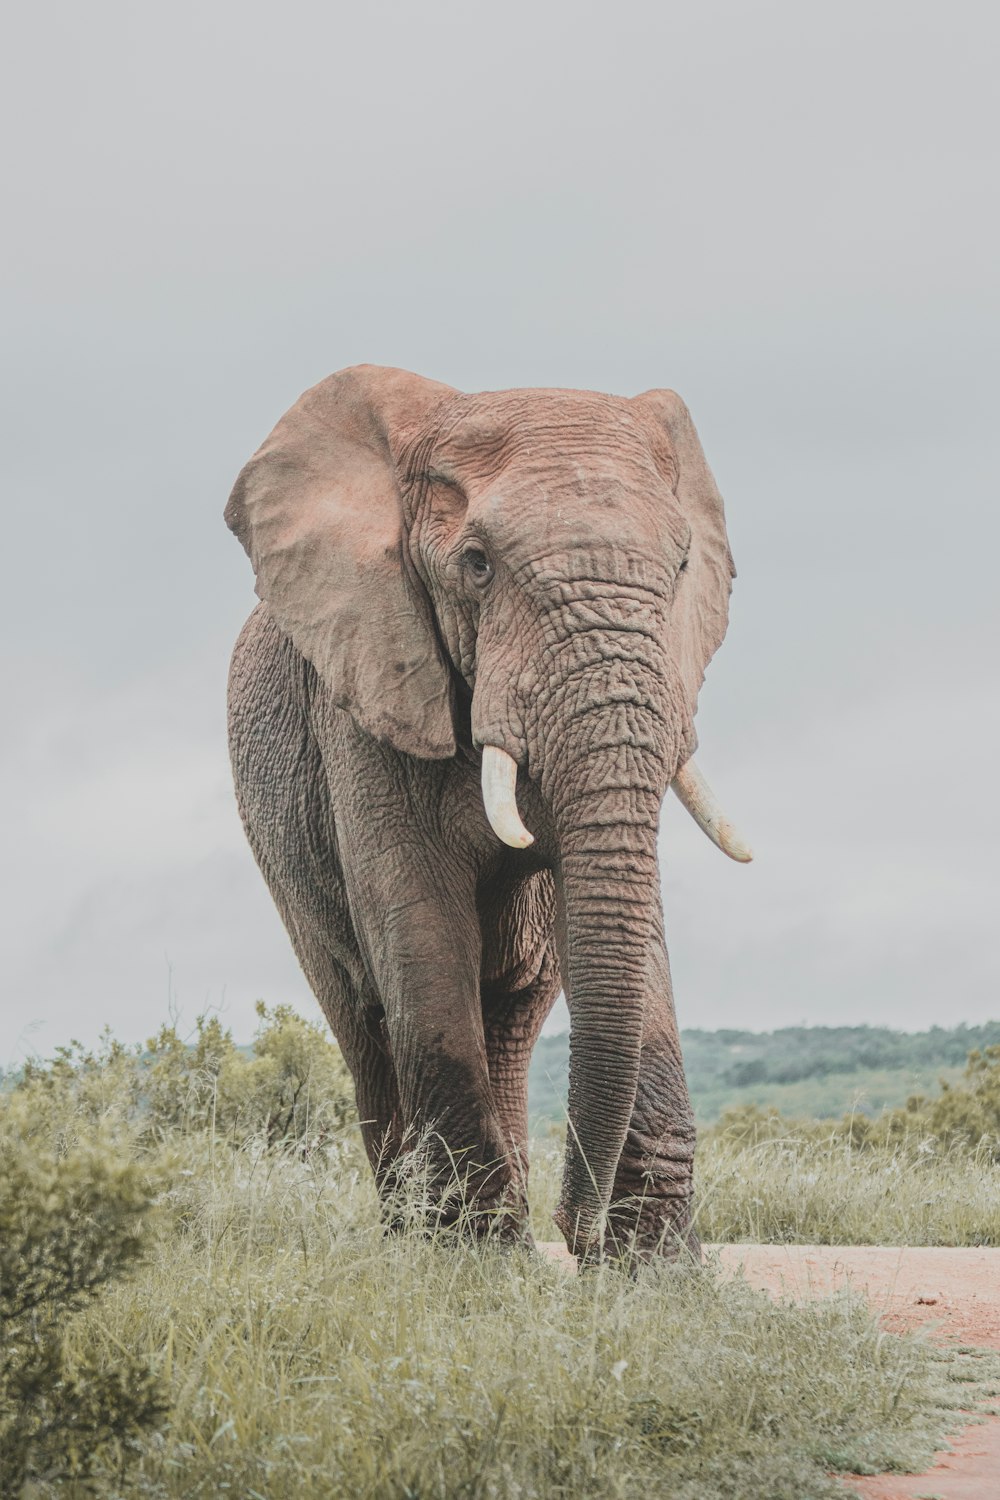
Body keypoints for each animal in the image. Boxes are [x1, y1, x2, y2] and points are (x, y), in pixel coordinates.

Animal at [223, 363, 746, 1266]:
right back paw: (416, 1241)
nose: (576, 1229)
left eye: (683, 563)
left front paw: (656, 1274)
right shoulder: (367, 693)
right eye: (476, 565)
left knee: (509, 1018)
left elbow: (634, 928)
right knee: (363, 1022)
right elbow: (422, 929)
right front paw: (475, 1271)